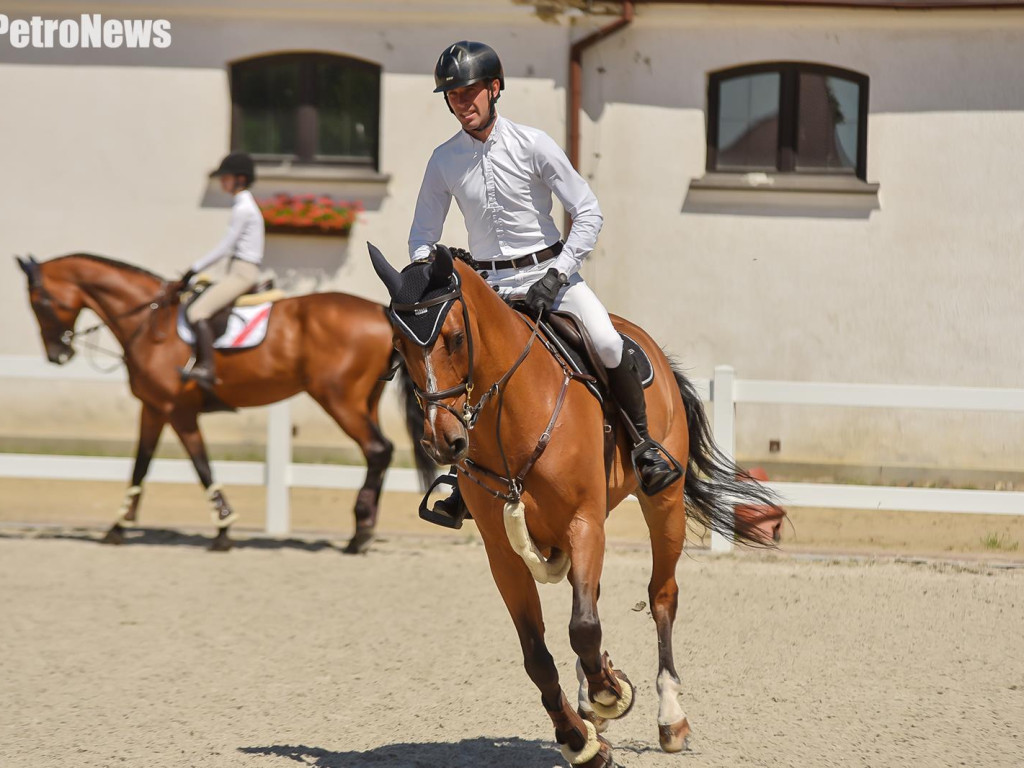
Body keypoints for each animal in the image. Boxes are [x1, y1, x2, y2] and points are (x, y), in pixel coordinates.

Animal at [16, 253, 432, 552]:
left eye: (41, 301)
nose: (57, 354)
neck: (150, 325)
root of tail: (380, 311)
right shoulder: (154, 408)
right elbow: (140, 467)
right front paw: (118, 527)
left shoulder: (178, 412)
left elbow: (201, 466)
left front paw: (223, 530)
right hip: (364, 400)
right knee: (379, 453)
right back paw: (363, 530)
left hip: (339, 400)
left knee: (377, 449)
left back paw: (359, 534)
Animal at [372, 246, 778, 768]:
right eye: (400, 347)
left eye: (457, 338)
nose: (443, 441)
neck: (510, 414)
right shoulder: (503, 553)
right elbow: (538, 655)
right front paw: (579, 738)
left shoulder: (584, 523)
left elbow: (583, 628)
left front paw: (612, 692)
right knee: (595, 598)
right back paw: (592, 710)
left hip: (661, 503)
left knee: (661, 595)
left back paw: (669, 717)